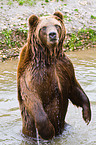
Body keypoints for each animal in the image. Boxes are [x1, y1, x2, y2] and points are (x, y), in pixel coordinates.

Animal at [16, 11, 91, 140]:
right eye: (43, 27)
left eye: (57, 25)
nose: (52, 34)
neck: (49, 57)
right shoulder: (33, 74)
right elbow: (32, 97)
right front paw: (48, 131)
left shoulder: (64, 67)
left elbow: (74, 88)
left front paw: (87, 115)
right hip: (29, 130)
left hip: (65, 126)